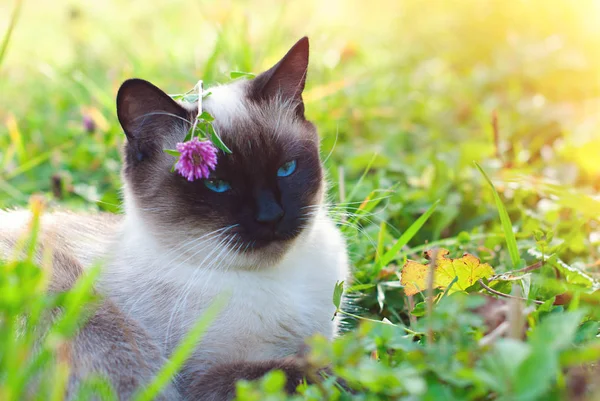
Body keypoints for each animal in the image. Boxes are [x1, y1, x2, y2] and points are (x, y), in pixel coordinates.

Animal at [0, 36, 350, 398]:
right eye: (216, 184)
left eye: (286, 169)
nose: (272, 216)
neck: (277, 279)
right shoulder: (201, 380)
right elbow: (310, 371)